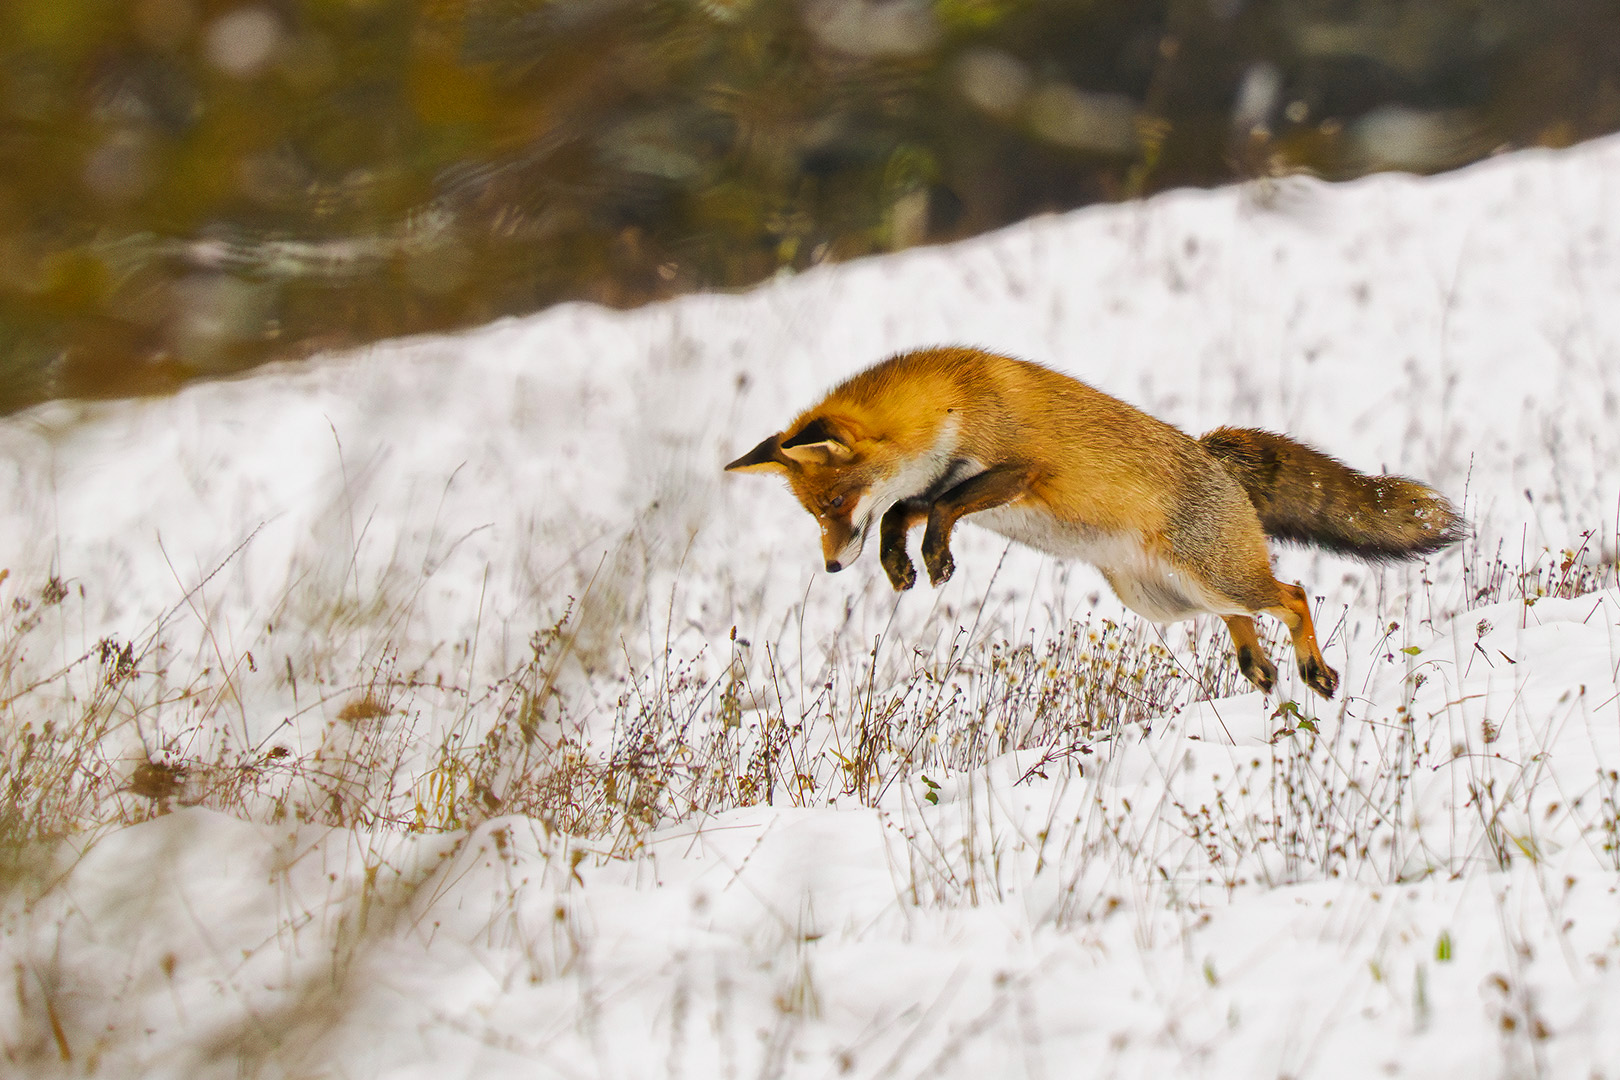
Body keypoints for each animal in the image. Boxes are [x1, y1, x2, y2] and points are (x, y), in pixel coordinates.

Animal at [729, 346, 1464, 702]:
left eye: (832, 505)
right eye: (813, 514)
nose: (829, 565)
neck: (951, 404)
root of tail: (1213, 453)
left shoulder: (1018, 471)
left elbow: (938, 507)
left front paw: (934, 559)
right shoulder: (939, 481)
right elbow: (902, 511)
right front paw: (899, 564)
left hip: (1210, 576)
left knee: (1292, 595)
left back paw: (1314, 671)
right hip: (1167, 599)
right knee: (1245, 618)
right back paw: (1259, 670)